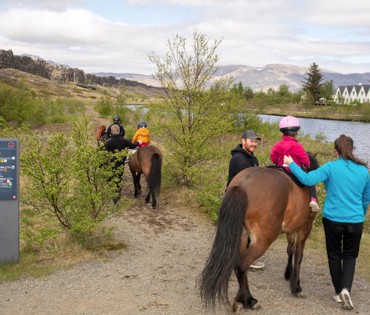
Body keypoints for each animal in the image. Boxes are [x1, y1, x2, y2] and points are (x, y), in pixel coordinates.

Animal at [198, 154, 320, 314]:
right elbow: (299, 256)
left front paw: (288, 274)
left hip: (243, 236)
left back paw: (243, 298)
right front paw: (296, 286)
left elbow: (290, 250)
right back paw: (249, 300)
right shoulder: (305, 228)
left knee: (237, 263)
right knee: (242, 264)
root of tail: (243, 184)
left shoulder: (291, 229)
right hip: (264, 239)